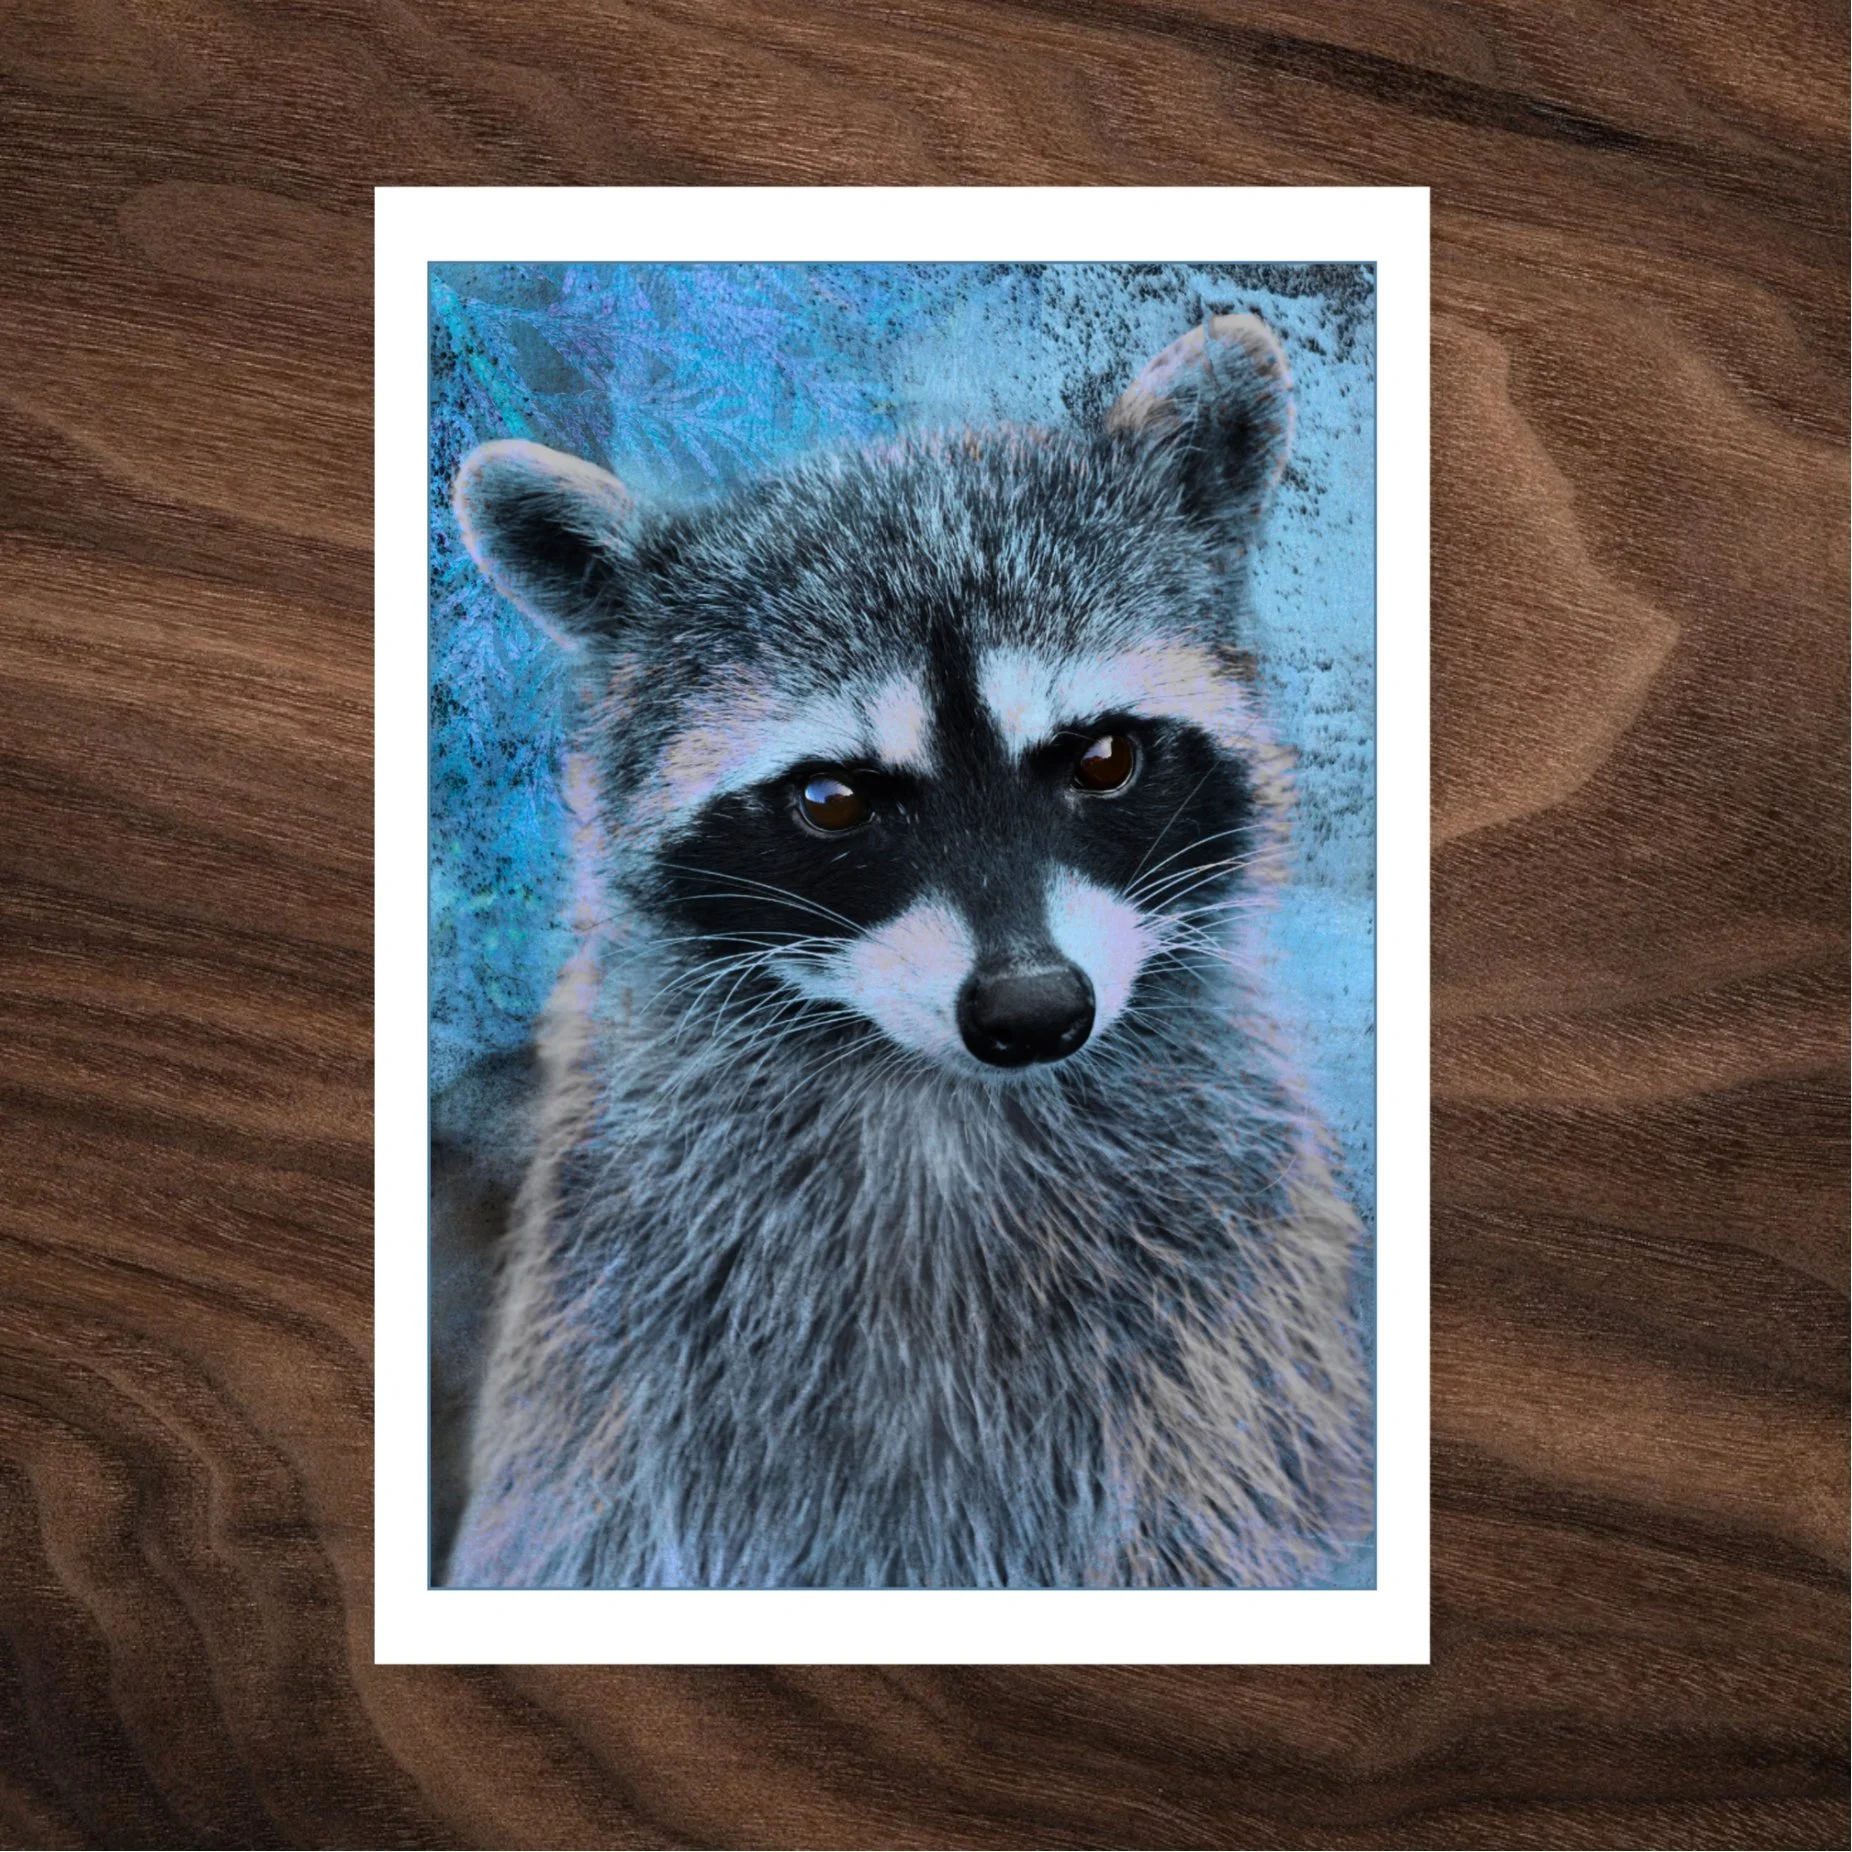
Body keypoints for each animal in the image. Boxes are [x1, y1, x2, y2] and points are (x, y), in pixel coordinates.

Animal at [438, 314, 1370, 1589]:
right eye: (832, 800)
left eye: (1103, 758)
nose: (1032, 1011)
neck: (944, 1101)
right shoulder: (629, 1375)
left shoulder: (1223, 1357)